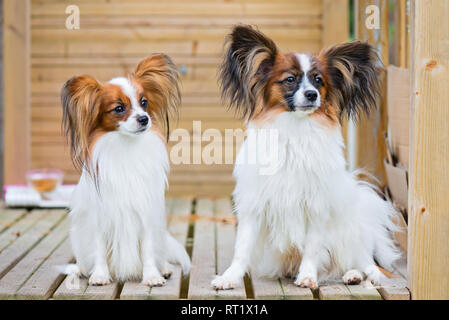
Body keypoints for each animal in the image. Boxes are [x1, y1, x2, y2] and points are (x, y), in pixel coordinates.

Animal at [60, 53, 190, 286]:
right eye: (119, 108)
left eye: (144, 103)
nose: (144, 118)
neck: (125, 147)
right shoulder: (99, 216)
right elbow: (99, 248)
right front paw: (99, 275)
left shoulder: (146, 213)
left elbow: (148, 250)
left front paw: (152, 276)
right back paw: (82, 270)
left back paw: (164, 268)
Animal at [211, 25, 400, 290]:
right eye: (290, 79)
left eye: (318, 81)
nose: (311, 94)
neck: (295, 130)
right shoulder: (255, 205)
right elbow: (242, 248)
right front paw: (229, 277)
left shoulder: (316, 206)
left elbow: (312, 246)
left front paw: (308, 276)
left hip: (349, 235)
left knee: (366, 264)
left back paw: (354, 274)